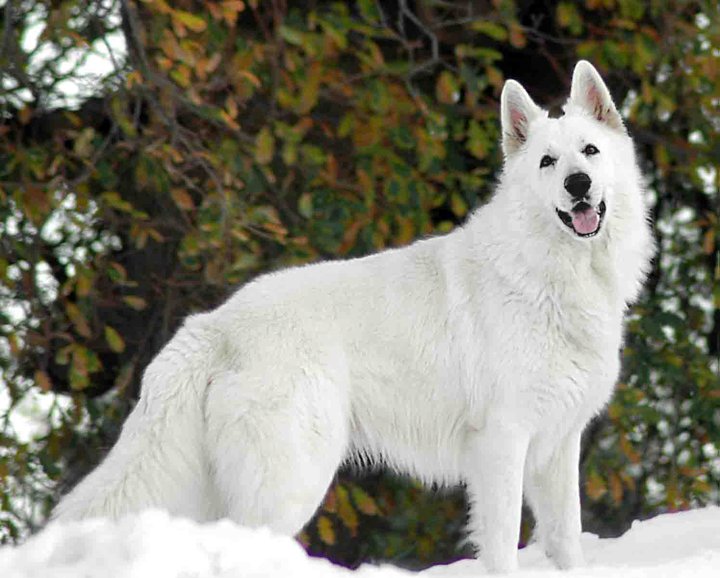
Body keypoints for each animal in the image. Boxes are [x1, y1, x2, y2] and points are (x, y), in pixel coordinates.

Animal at [53, 60, 656, 568]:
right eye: (548, 163)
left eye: (590, 151)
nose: (578, 185)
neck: (549, 275)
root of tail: (214, 325)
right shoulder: (502, 444)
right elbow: (503, 545)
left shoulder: (557, 447)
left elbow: (568, 542)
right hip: (295, 477)